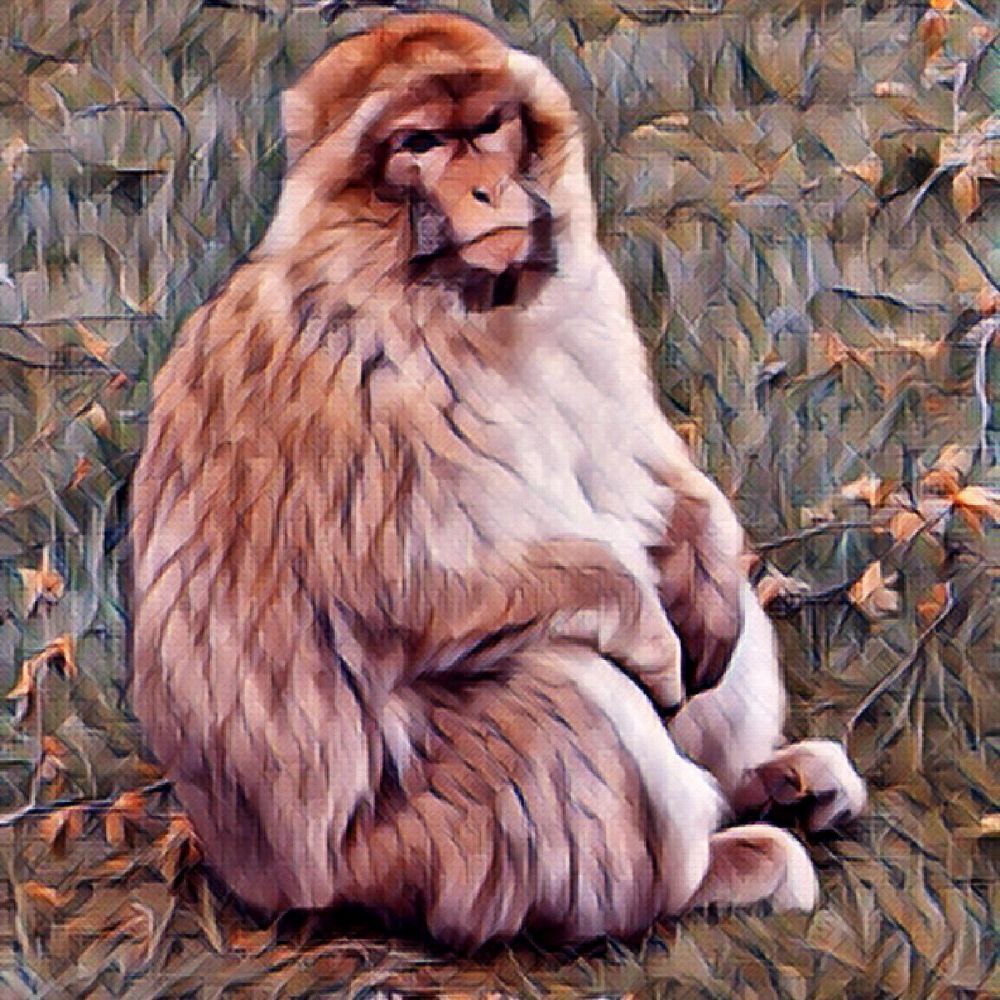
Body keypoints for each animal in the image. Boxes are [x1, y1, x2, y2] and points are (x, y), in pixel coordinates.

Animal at [129, 12, 866, 951]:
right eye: (421, 144)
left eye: (488, 127)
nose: (485, 189)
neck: (455, 305)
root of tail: (266, 882)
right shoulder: (346, 382)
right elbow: (418, 583)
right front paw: (650, 632)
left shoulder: (588, 303)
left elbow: (645, 475)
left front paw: (704, 573)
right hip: (426, 851)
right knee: (562, 683)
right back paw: (710, 873)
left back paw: (768, 779)